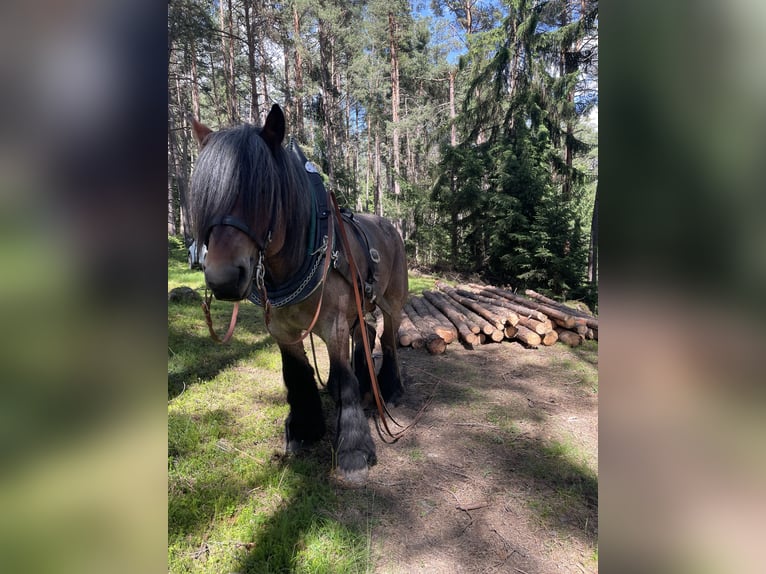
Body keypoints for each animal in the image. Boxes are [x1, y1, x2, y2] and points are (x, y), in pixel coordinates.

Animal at [190, 104, 412, 486]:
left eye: (264, 192)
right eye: (207, 197)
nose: (223, 279)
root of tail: (389, 226)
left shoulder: (334, 324)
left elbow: (344, 379)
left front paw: (353, 450)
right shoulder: (282, 330)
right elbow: (297, 374)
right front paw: (304, 430)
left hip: (392, 302)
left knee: (387, 340)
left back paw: (391, 390)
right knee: (367, 335)